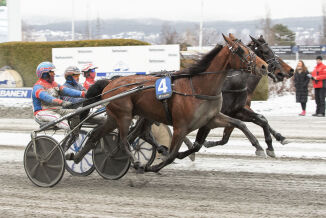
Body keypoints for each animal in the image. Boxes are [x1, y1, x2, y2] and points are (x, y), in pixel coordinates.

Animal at [68, 34, 268, 173]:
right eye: (241, 51)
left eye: (251, 49)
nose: (264, 66)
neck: (199, 87)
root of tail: (111, 82)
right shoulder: (181, 126)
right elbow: (173, 154)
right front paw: (152, 166)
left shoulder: (212, 118)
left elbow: (239, 123)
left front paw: (259, 147)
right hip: (124, 115)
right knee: (124, 140)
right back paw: (136, 163)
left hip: (117, 116)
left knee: (96, 134)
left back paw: (77, 157)